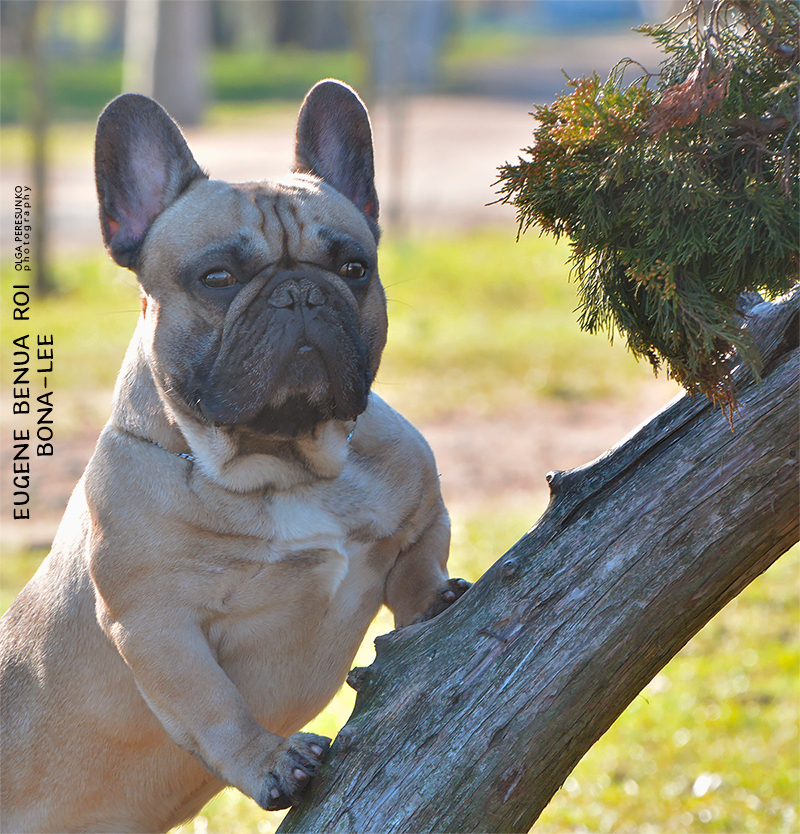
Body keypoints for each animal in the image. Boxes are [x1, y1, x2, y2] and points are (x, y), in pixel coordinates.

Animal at [0, 80, 467, 834]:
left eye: (354, 268)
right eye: (217, 276)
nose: (301, 291)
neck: (282, 466)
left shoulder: (425, 506)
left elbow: (420, 560)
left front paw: (432, 596)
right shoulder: (155, 624)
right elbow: (213, 704)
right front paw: (266, 759)